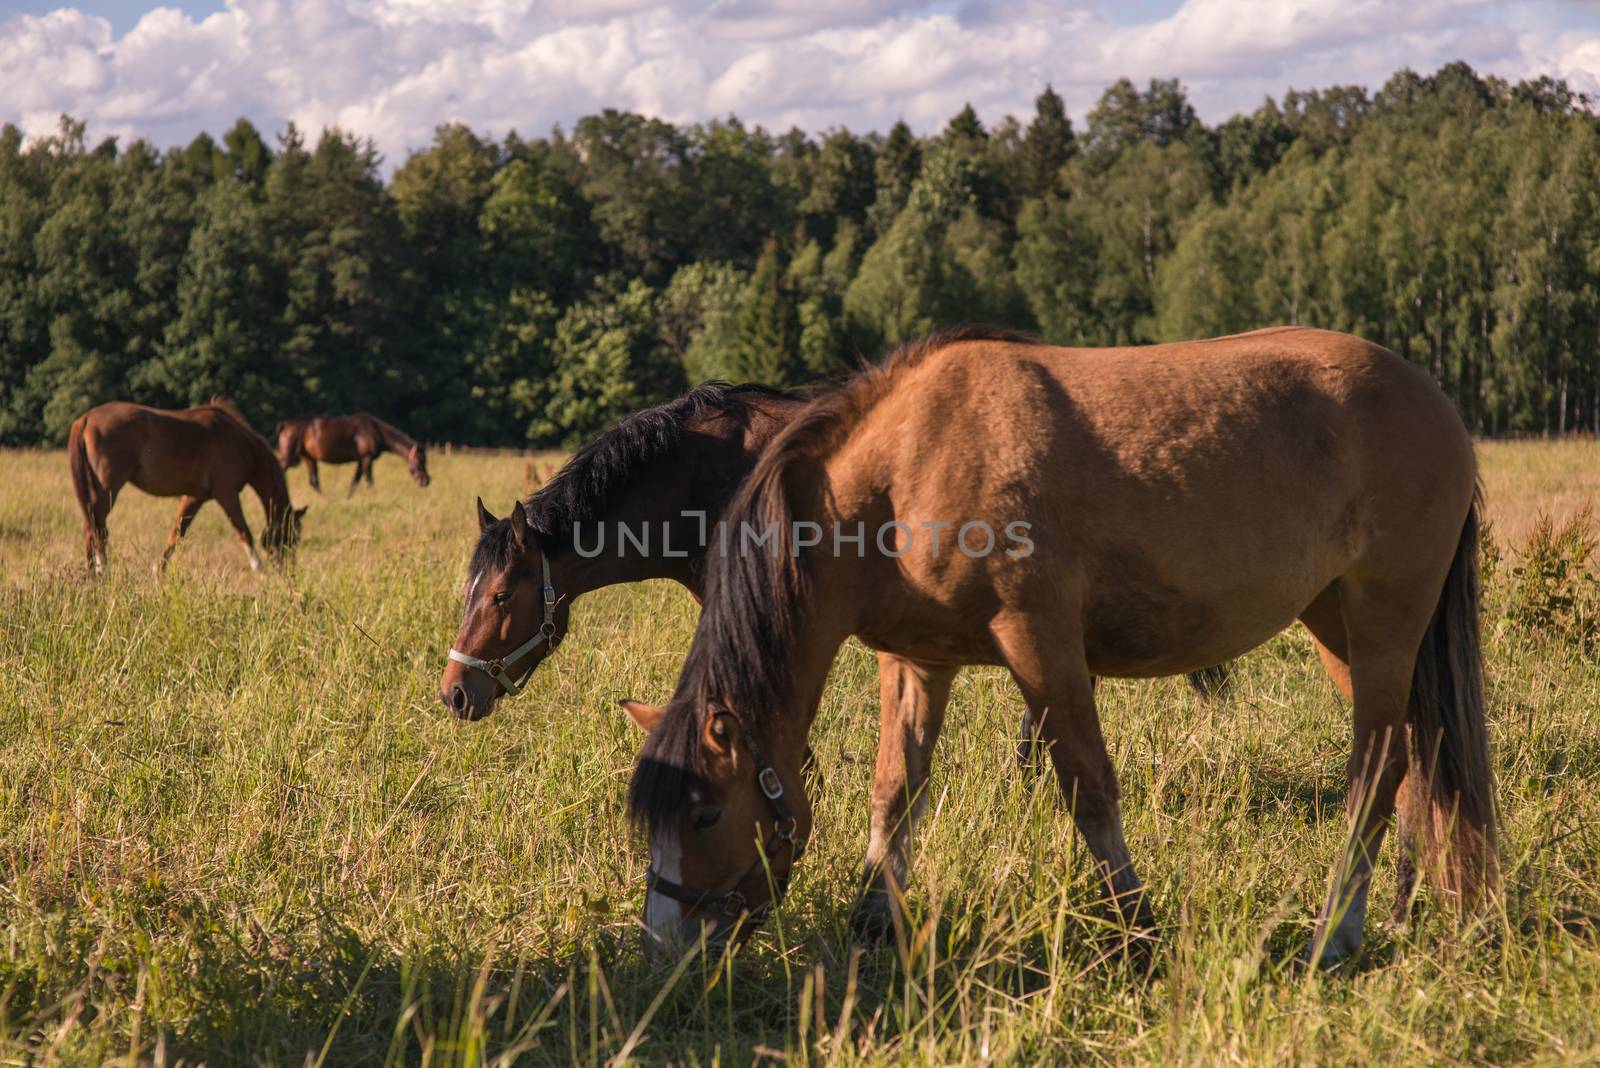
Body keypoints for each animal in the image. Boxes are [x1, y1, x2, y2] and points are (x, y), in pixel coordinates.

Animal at [68, 398, 307, 572]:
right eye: (291, 536)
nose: (288, 570)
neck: (241, 444)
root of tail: (86, 419)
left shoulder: (194, 498)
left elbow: (176, 534)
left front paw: (158, 570)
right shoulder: (227, 494)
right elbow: (243, 530)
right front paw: (259, 568)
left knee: (91, 526)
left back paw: (92, 573)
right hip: (108, 489)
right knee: (96, 526)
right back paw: (103, 570)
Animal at [275, 412, 428, 495]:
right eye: (420, 462)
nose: (426, 481)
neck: (376, 431)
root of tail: (285, 424)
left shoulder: (360, 460)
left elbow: (355, 482)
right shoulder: (367, 458)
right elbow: (369, 480)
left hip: (308, 457)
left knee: (314, 481)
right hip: (288, 457)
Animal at [624, 322, 1497, 965]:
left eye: (704, 815)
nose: (662, 951)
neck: (905, 470)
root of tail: (1436, 402)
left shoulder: (1038, 643)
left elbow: (1088, 788)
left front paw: (1137, 929)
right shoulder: (915, 661)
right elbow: (895, 788)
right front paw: (874, 917)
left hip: (1384, 620)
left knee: (1375, 767)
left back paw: (1336, 933)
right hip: (1336, 625)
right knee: (1415, 758)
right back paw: (1407, 909)